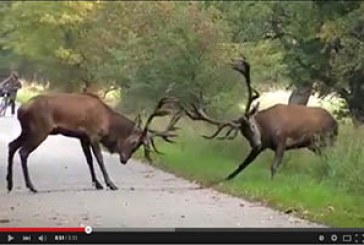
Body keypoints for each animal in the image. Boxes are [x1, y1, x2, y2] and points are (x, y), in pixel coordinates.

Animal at [6, 93, 181, 192]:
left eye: (138, 145)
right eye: (134, 141)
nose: (124, 159)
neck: (108, 122)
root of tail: (21, 110)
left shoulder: (83, 137)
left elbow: (89, 160)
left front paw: (97, 183)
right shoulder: (94, 134)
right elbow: (99, 159)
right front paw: (110, 184)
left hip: (27, 130)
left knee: (11, 145)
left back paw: (9, 183)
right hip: (39, 130)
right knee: (23, 151)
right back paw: (31, 186)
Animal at [182, 58, 338, 182]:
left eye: (252, 126)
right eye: (244, 134)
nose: (256, 144)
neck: (266, 129)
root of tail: (335, 123)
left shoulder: (282, 139)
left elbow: (274, 166)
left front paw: (271, 183)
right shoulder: (263, 145)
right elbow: (243, 164)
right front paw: (226, 178)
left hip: (325, 139)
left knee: (331, 158)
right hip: (314, 145)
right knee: (327, 159)